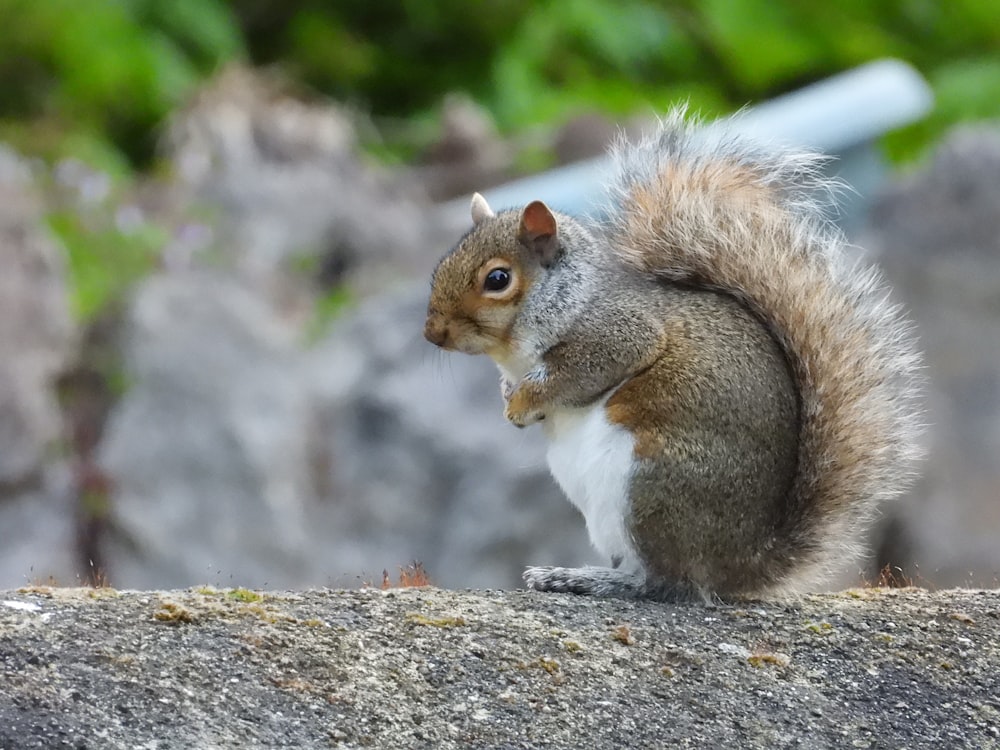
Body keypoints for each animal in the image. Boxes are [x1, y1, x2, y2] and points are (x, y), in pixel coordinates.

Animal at [422, 110, 920, 604]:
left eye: (498, 279)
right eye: (441, 265)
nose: (432, 333)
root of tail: (742, 564)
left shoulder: (619, 333)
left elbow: (576, 374)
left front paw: (522, 404)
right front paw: (510, 398)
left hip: (650, 484)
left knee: (666, 581)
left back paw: (589, 579)